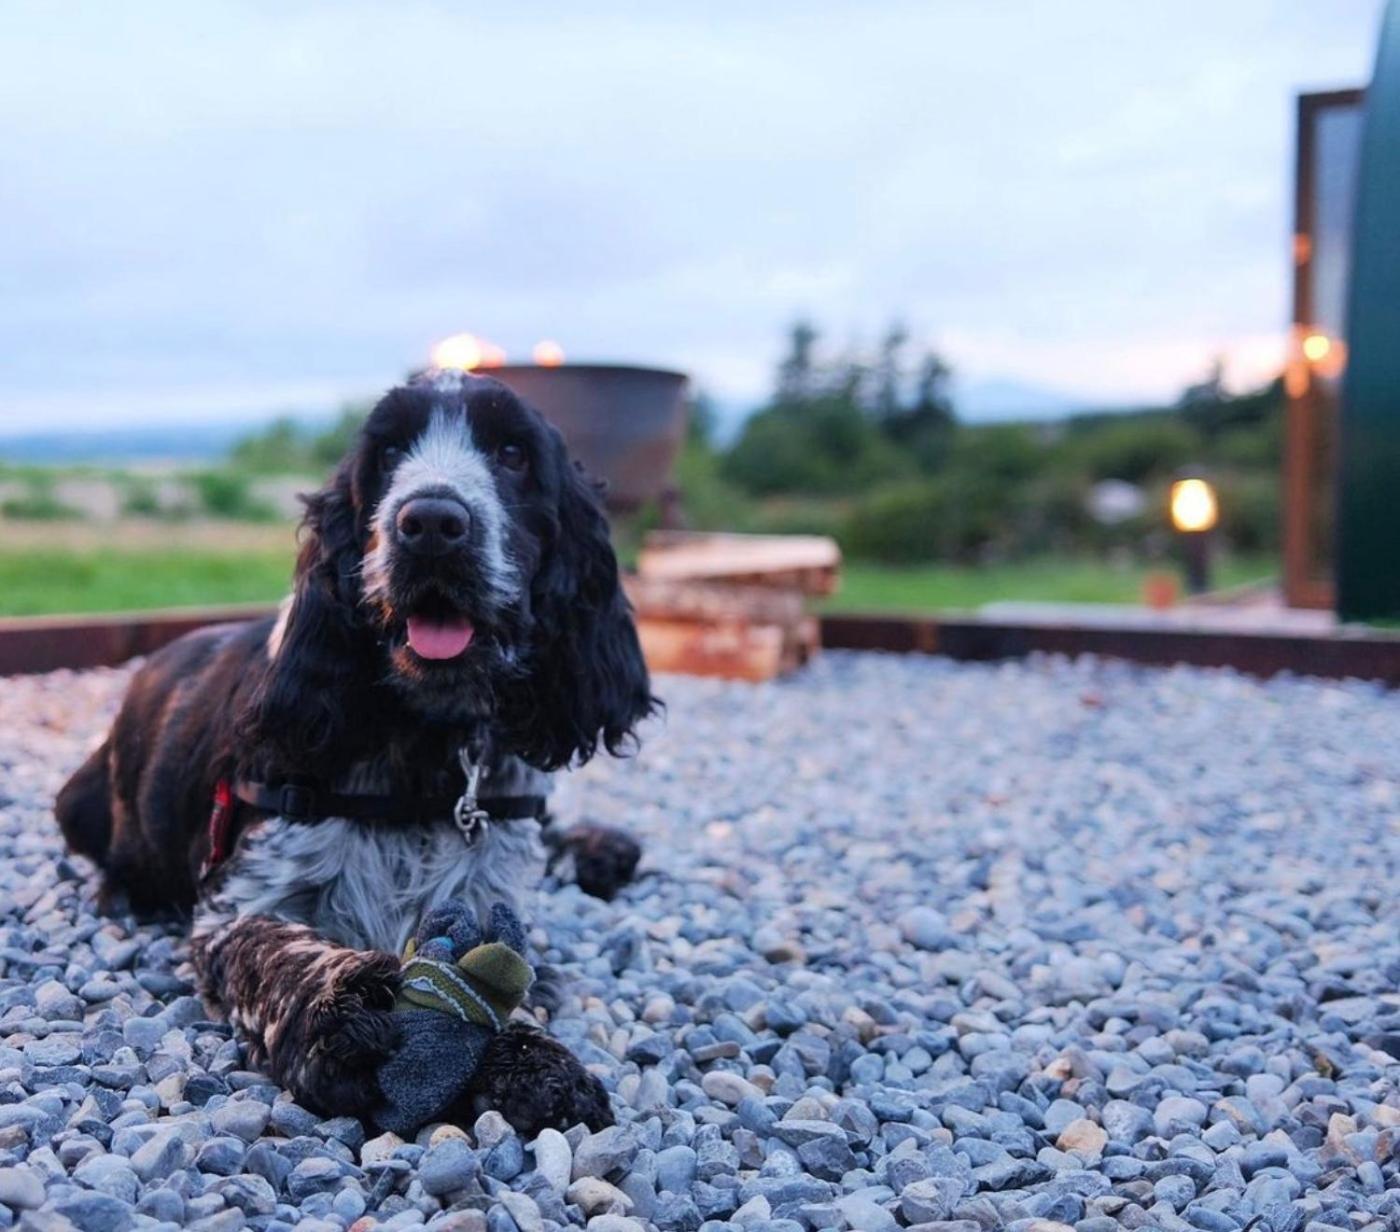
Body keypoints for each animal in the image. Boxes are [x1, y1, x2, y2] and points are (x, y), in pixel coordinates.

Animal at [57, 366, 658, 1136]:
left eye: (513, 453)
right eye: (388, 452)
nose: (430, 524)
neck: (425, 744)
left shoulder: (489, 892)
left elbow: (511, 973)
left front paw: (540, 1064)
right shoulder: (235, 906)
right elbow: (272, 950)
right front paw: (337, 1019)